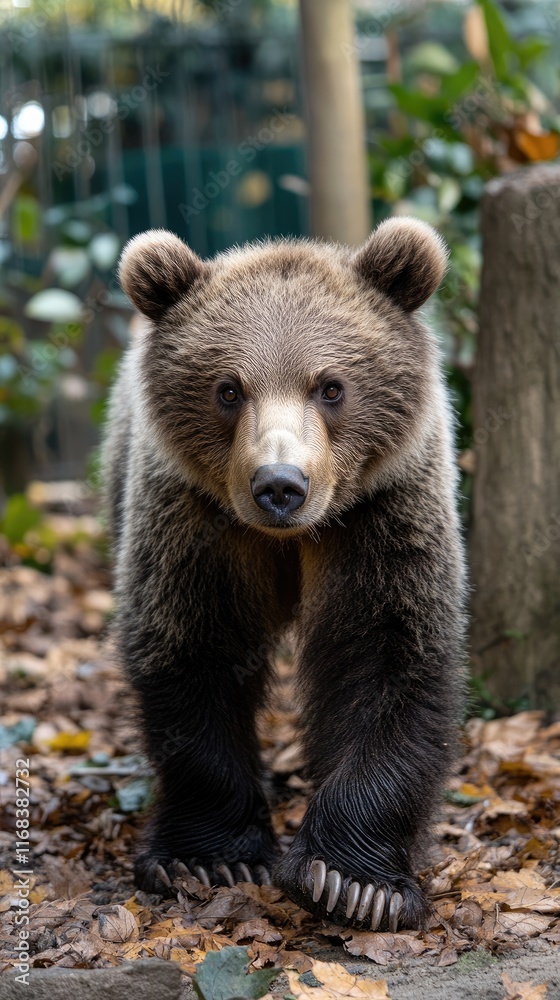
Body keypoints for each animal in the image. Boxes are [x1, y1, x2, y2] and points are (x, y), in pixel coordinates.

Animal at [103, 217, 466, 932]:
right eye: (228, 388)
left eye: (331, 386)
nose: (279, 485)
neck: (293, 539)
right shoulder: (198, 522)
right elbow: (194, 652)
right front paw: (210, 859)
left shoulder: (383, 517)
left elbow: (388, 657)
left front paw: (352, 882)